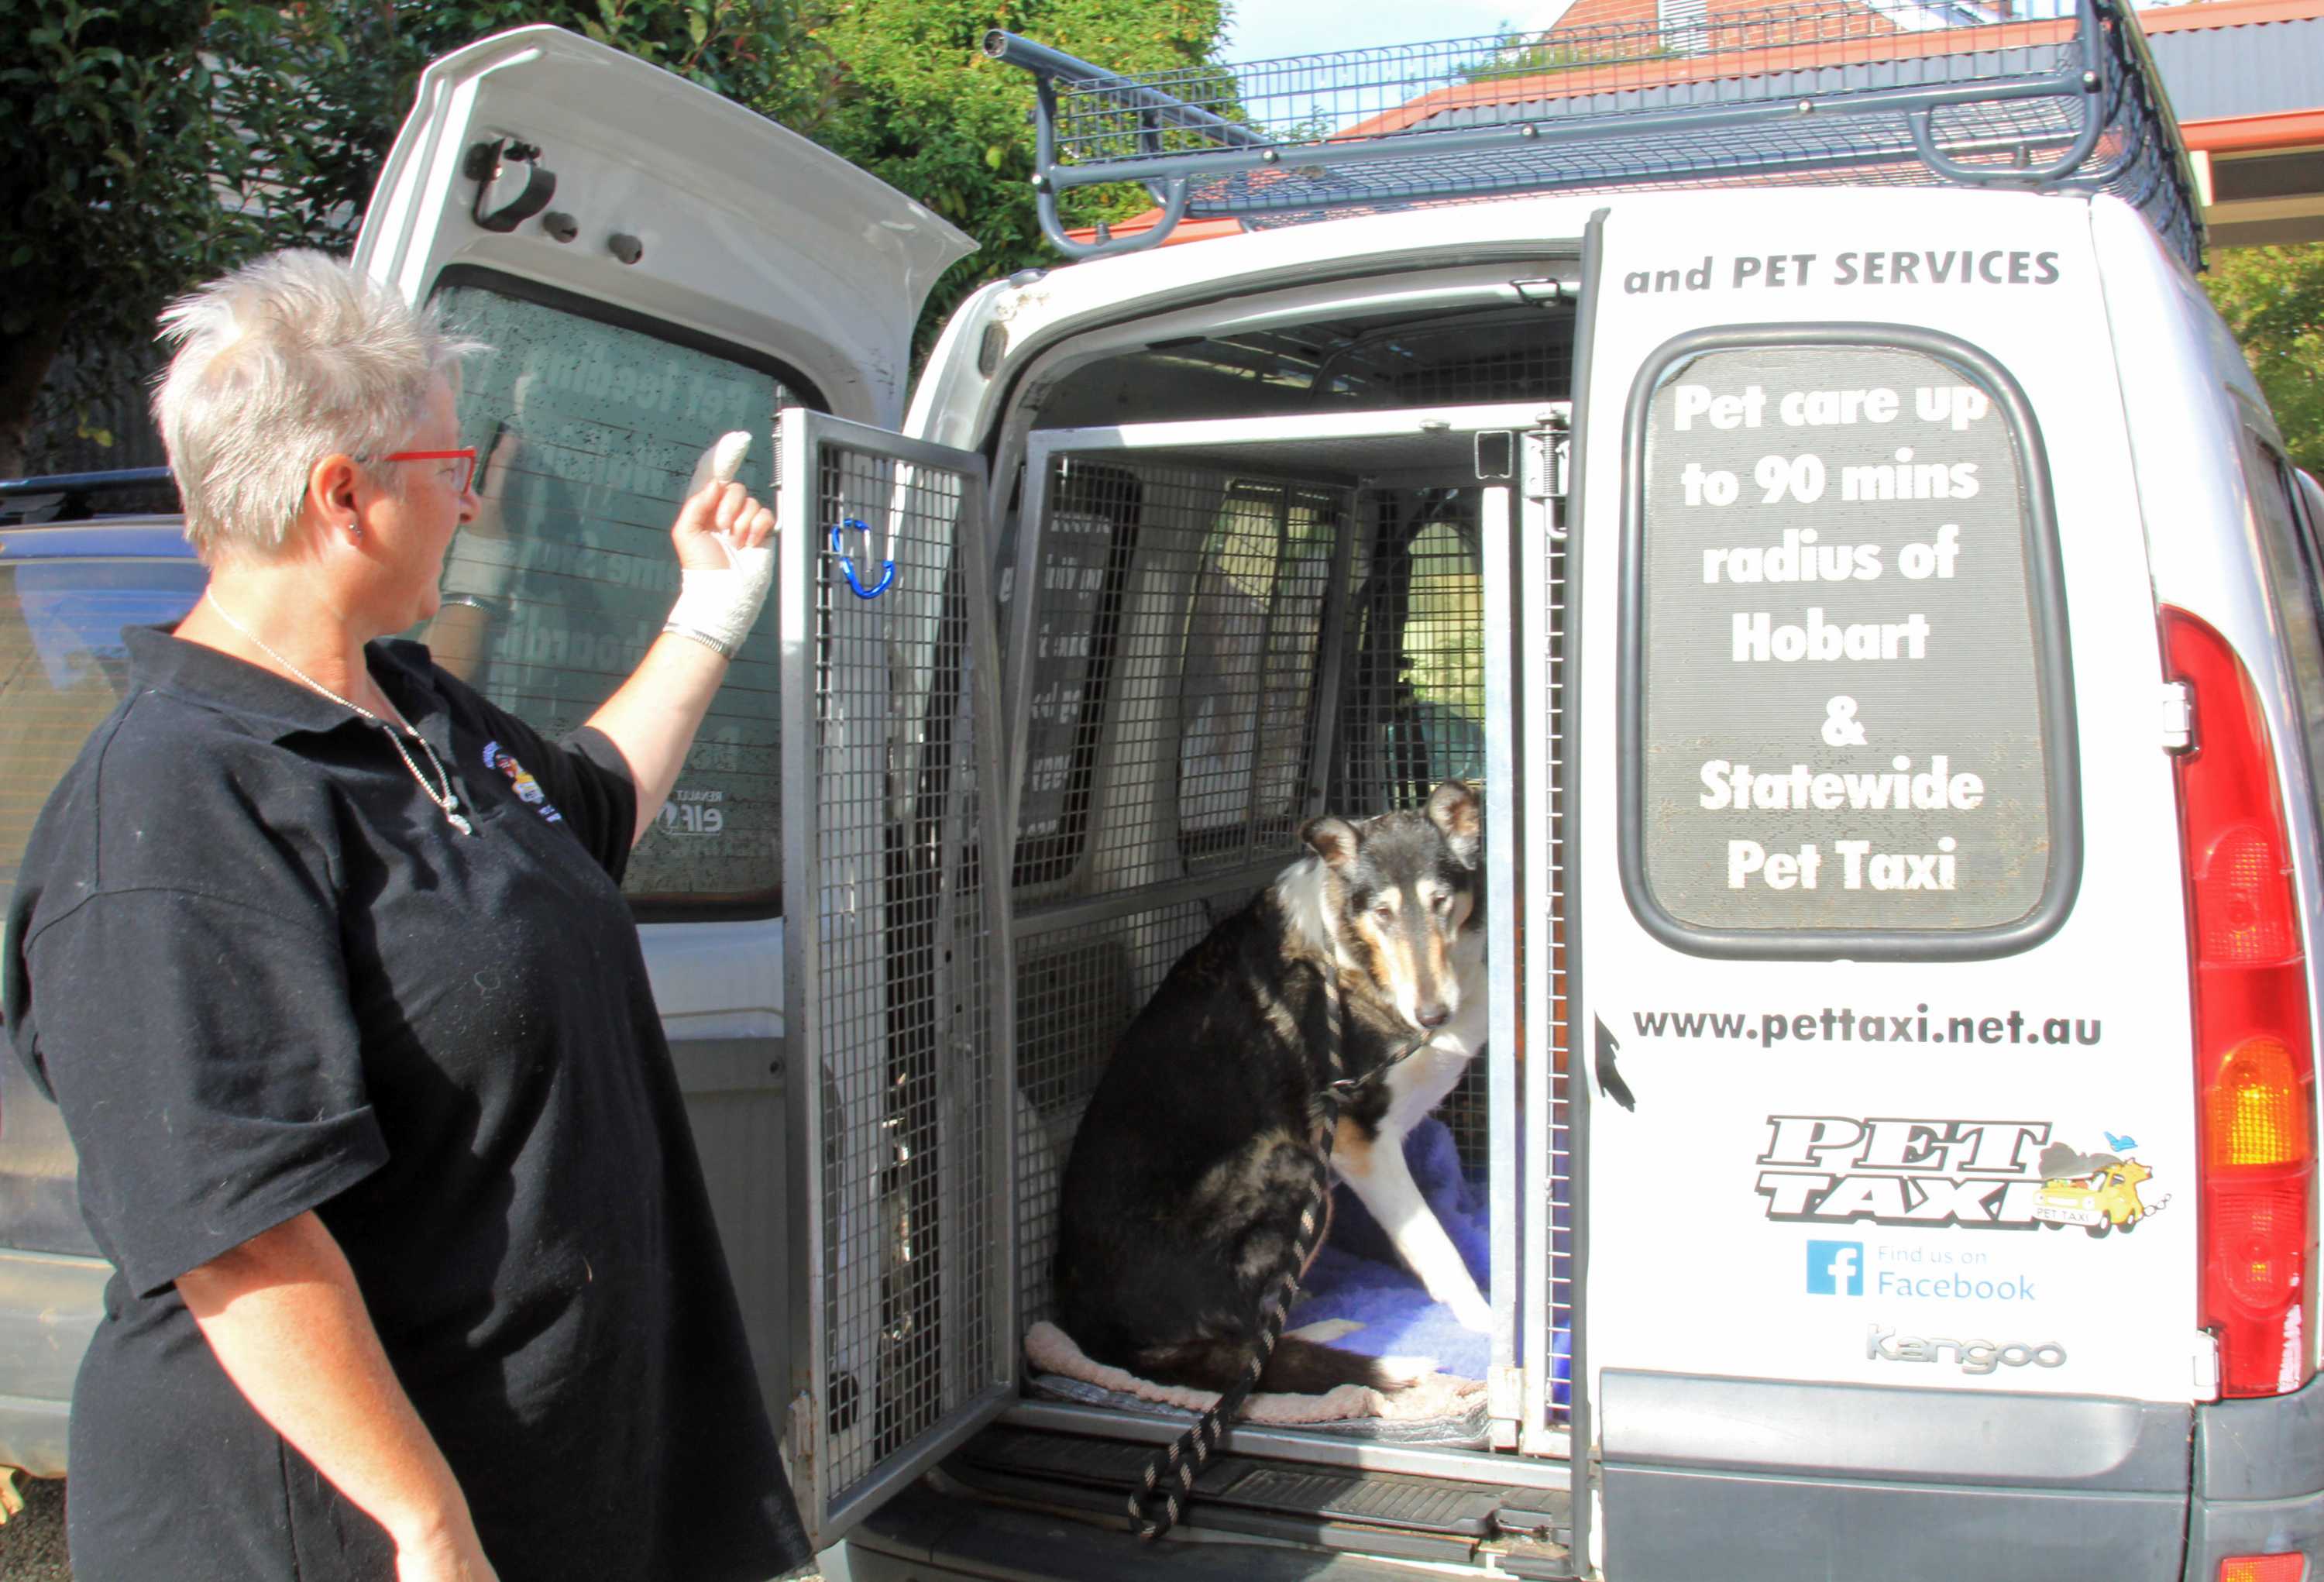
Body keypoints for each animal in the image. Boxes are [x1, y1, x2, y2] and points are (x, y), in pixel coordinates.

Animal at [1051, 779, 1489, 1399]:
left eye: (1441, 902)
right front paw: (1488, 1323)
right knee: (1248, 1349)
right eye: (1381, 912)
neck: (1351, 955)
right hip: (1296, 1164)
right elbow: (1435, 1243)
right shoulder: (1359, 1142)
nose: (1432, 1015)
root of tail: (1092, 1331)